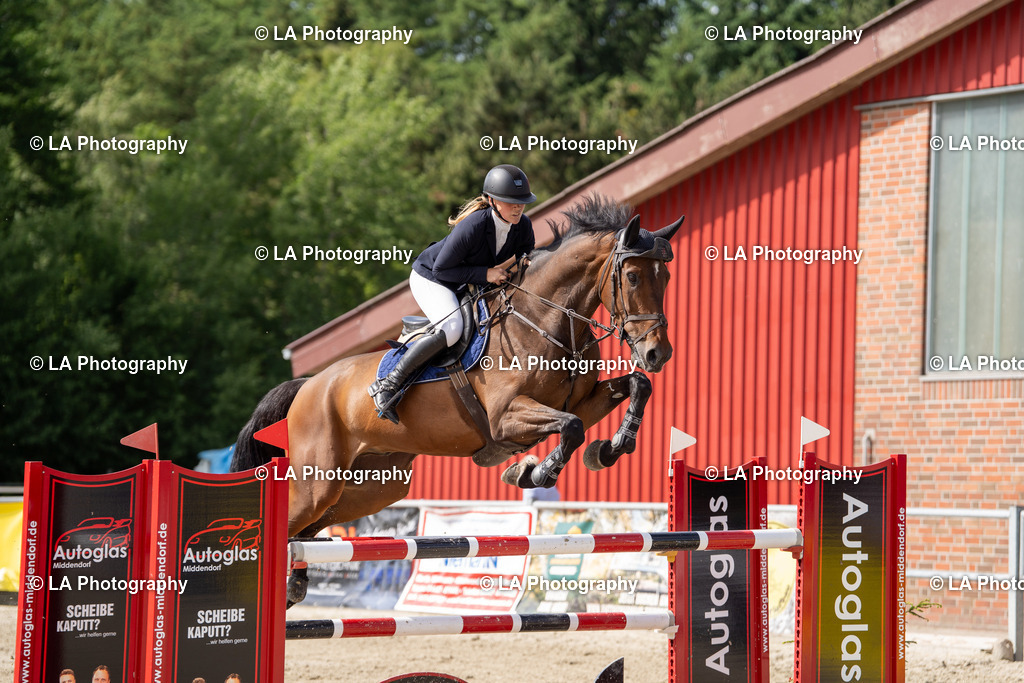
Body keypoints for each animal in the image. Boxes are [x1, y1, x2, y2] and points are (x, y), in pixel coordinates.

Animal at [232, 193, 683, 605]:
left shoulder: (581, 401)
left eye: (665, 279)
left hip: (373, 485)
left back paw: (295, 586)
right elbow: (570, 429)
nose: (658, 354)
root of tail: (309, 385)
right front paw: (535, 473)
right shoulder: (505, 417)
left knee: (312, 527)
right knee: (294, 521)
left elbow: (635, 388)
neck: (545, 320)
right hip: (319, 479)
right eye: (633, 277)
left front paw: (609, 449)